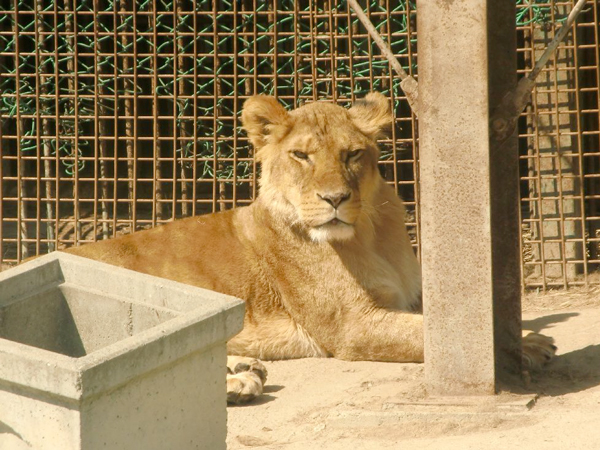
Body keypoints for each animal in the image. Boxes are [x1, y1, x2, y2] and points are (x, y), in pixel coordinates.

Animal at [67, 92, 556, 404]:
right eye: (301, 156)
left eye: (352, 154)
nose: (334, 199)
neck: (369, 235)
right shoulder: (351, 327)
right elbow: (427, 333)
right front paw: (528, 343)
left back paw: (243, 375)